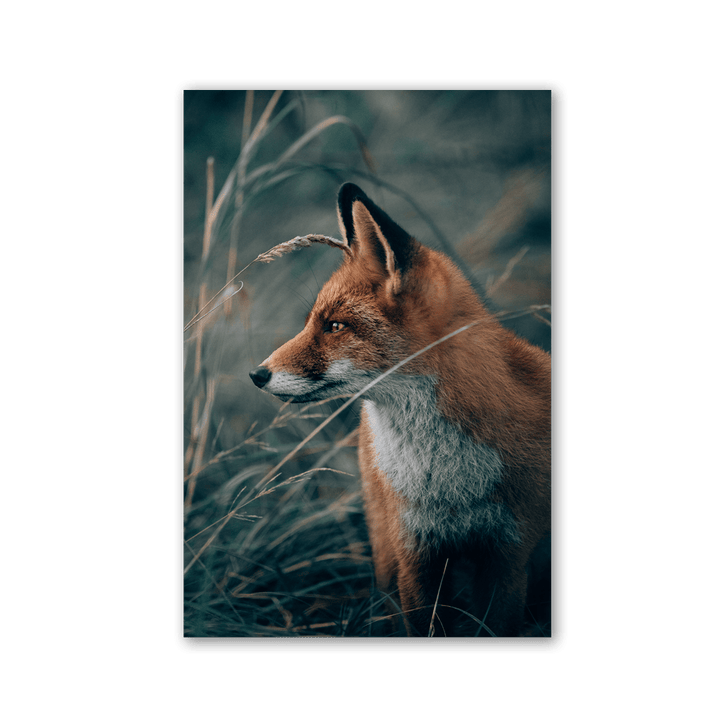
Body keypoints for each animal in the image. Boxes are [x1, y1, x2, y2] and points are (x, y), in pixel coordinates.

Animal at [249, 183, 551, 637]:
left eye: (334, 326)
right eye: (313, 323)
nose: (257, 374)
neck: (450, 484)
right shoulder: (416, 554)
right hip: (385, 551)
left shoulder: (508, 557)